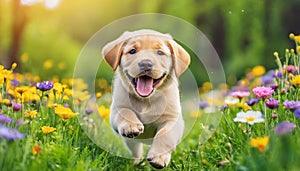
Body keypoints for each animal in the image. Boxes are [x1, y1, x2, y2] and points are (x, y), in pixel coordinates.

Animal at [101, 29, 190, 168]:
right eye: (132, 51)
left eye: (160, 52)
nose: (146, 63)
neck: (146, 100)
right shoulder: (116, 110)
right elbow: (125, 111)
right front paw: (131, 126)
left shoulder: (173, 119)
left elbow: (165, 135)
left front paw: (158, 157)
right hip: (131, 143)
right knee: (136, 151)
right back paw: (137, 163)